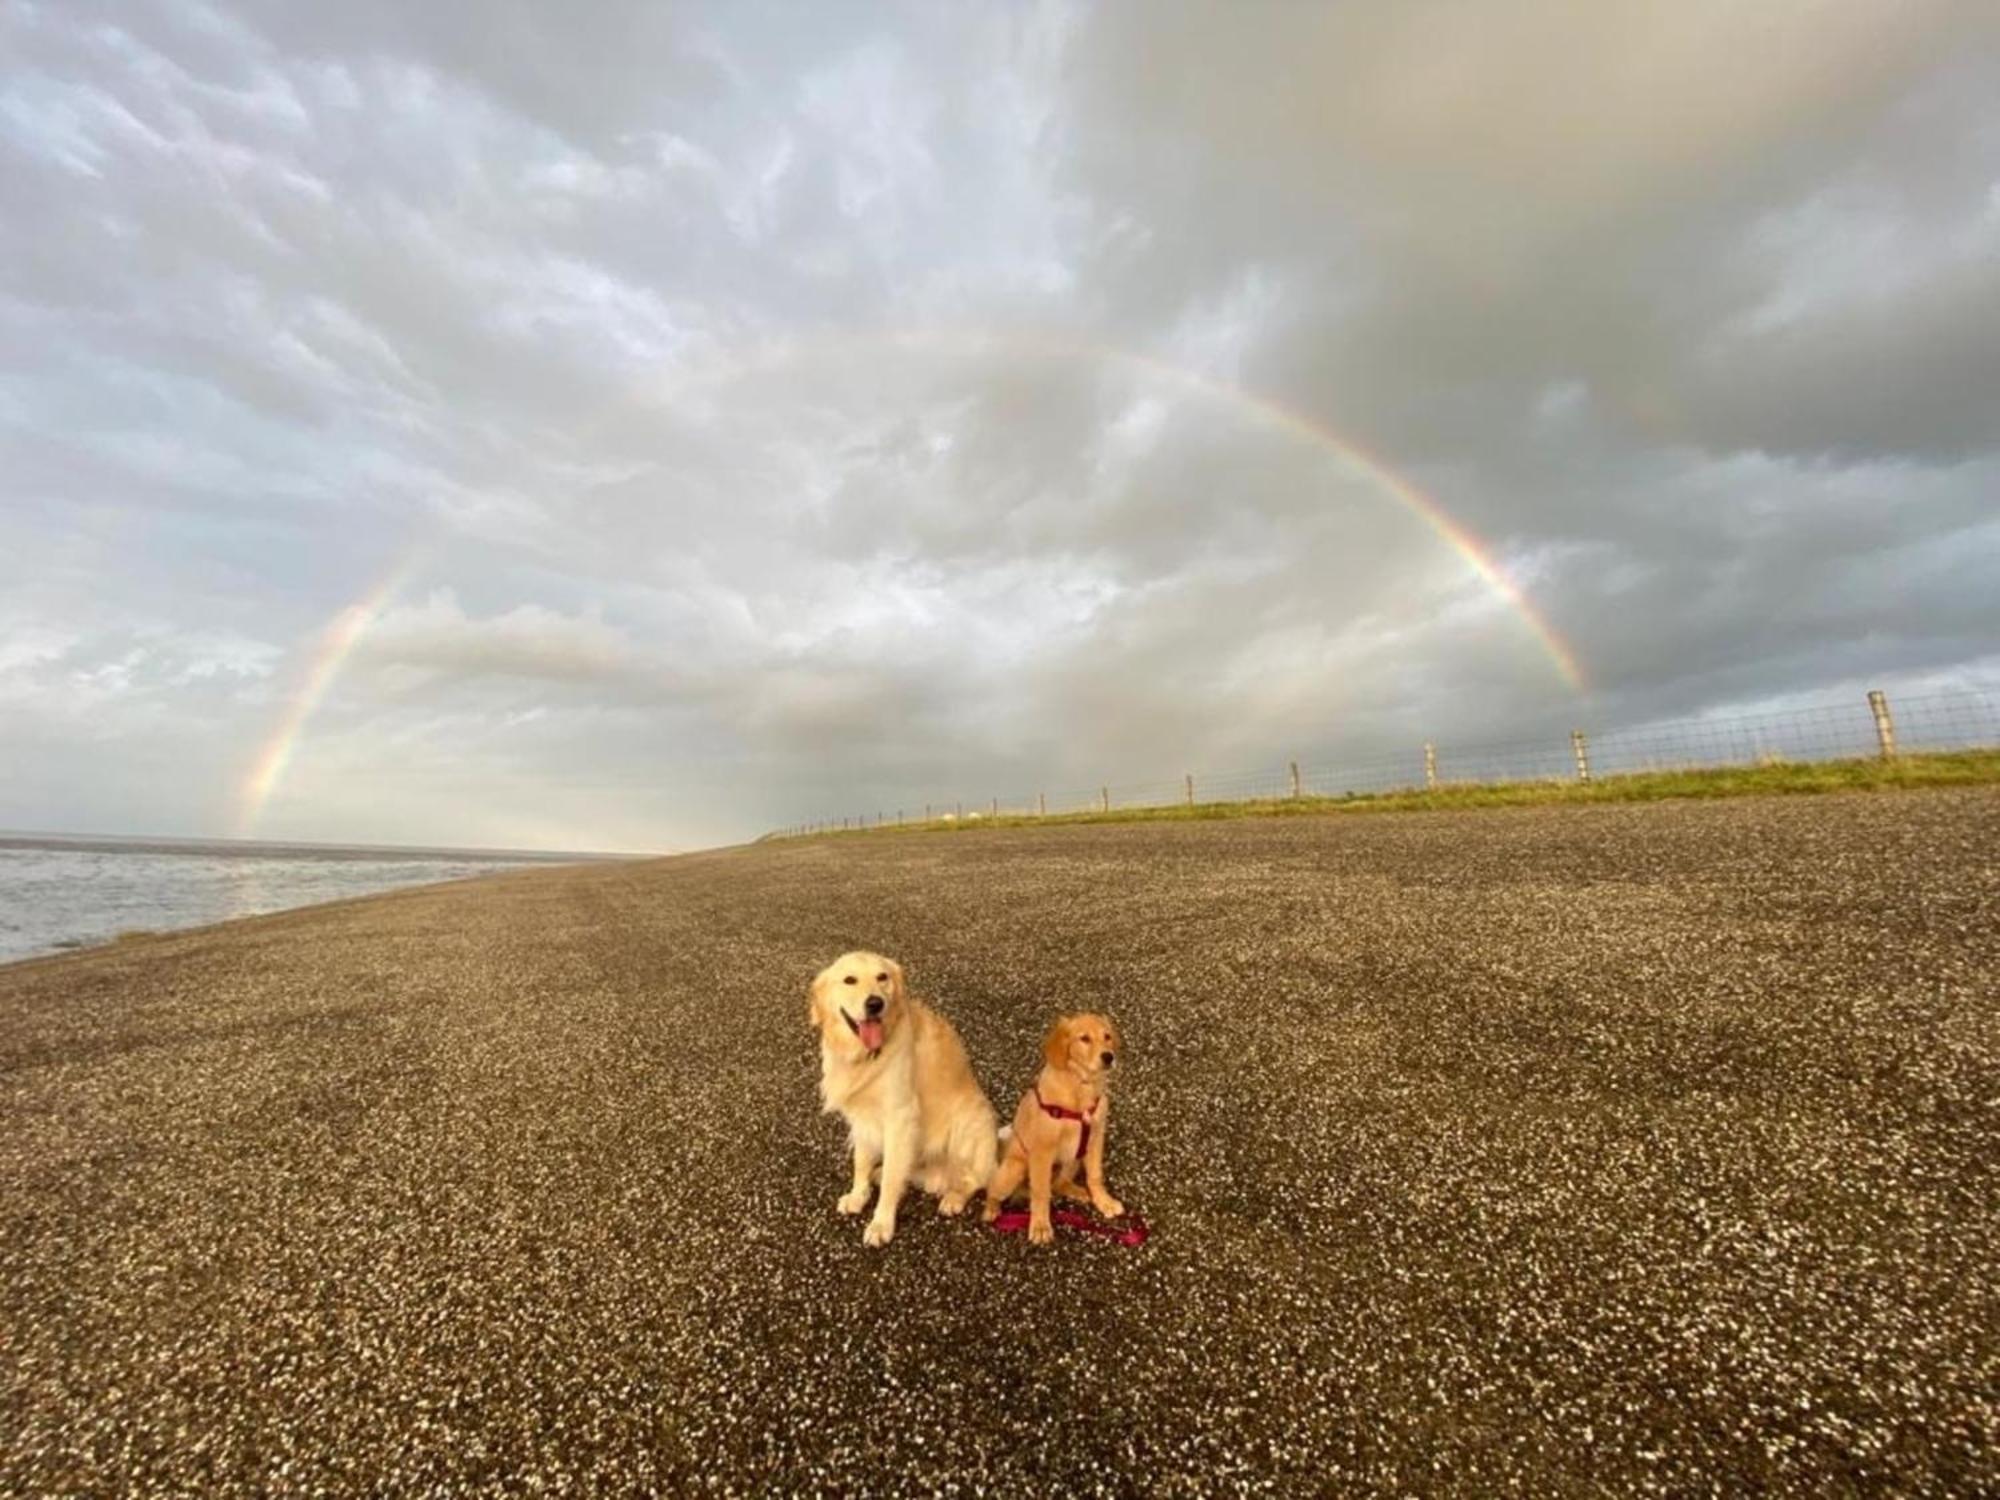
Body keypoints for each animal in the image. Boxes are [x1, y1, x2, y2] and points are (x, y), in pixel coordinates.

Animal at [804, 956, 1000, 1248]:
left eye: (882, 977)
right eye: (849, 980)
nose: (875, 1003)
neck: (866, 1056)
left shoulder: (900, 1118)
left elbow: (891, 1182)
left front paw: (881, 1223)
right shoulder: (862, 1119)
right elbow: (861, 1163)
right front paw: (858, 1195)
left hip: (970, 1121)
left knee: (975, 1179)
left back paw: (954, 1197)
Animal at [984, 1016, 1128, 1248]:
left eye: (1107, 1036)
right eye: (1084, 1038)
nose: (1109, 1057)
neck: (1080, 1086)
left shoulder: (1095, 1138)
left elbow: (1095, 1175)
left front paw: (1104, 1201)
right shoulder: (1042, 1150)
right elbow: (1041, 1192)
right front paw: (1041, 1226)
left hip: (1074, 1158)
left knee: (1059, 1184)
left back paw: (1077, 1191)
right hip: (1014, 1169)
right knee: (994, 1190)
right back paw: (991, 1209)